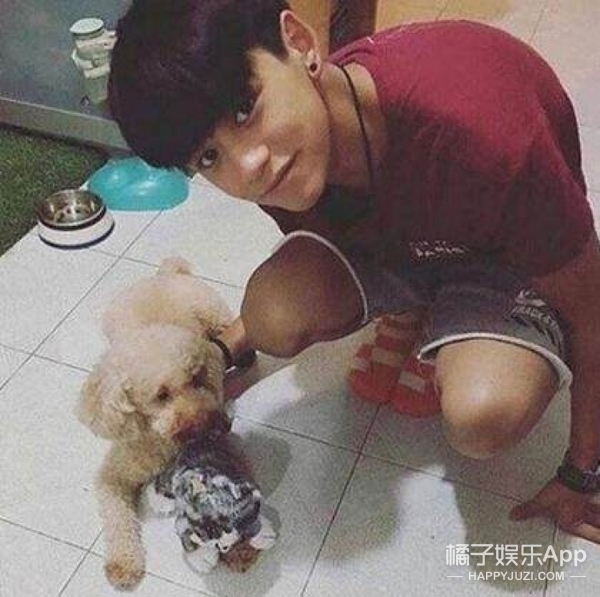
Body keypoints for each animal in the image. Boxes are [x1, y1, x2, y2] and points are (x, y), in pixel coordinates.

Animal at [77, 258, 234, 590]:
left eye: (196, 379)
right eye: (161, 395)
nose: (217, 424)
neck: (161, 438)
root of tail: (163, 273)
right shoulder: (112, 478)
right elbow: (118, 520)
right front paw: (123, 564)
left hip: (211, 309)